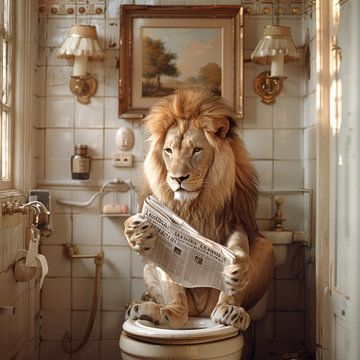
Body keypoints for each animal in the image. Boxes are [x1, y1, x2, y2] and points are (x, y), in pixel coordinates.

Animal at [125, 86, 274, 330]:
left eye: (196, 150)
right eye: (168, 151)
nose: (178, 178)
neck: (195, 203)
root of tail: (201, 311)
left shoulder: (232, 218)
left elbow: (238, 246)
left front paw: (236, 268)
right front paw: (136, 231)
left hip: (265, 247)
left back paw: (230, 312)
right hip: (163, 274)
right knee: (179, 312)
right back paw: (152, 311)